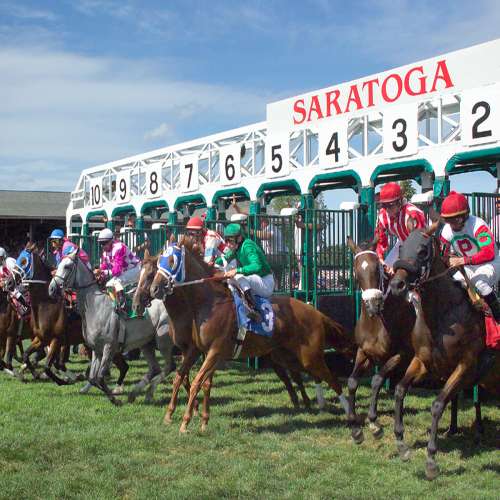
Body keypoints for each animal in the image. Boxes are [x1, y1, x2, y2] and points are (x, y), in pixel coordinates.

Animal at [47, 250, 174, 406]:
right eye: (58, 265)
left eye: (67, 266)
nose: (51, 289)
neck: (95, 306)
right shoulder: (96, 350)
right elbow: (92, 378)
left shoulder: (109, 347)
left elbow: (100, 377)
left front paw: (115, 399)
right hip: (146, 343)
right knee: (155, 368)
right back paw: (136, 393)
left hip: (162, 340)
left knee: (170, 366)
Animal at [146, 236, 354, 432]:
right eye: (158, 263)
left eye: (171, 261)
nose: (154, 289)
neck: (209, 303)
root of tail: (316, 312)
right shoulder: (198, 350)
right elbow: (184, 379)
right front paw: (194, 419)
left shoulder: (215, 351)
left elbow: (197, 383)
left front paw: (185, 422)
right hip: (286, 356)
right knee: (308, 376)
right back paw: (316, 405)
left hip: (310, 356)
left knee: (333, 380)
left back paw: (350, 415)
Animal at [390, 224, 500, 480]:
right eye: (401, 247)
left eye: (422, 250)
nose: (397, 285)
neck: (443, 313)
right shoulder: (423, 361)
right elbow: (399, 390)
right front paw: (401, 443)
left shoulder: (466, 366)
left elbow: (438, 404)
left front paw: (431, 460)